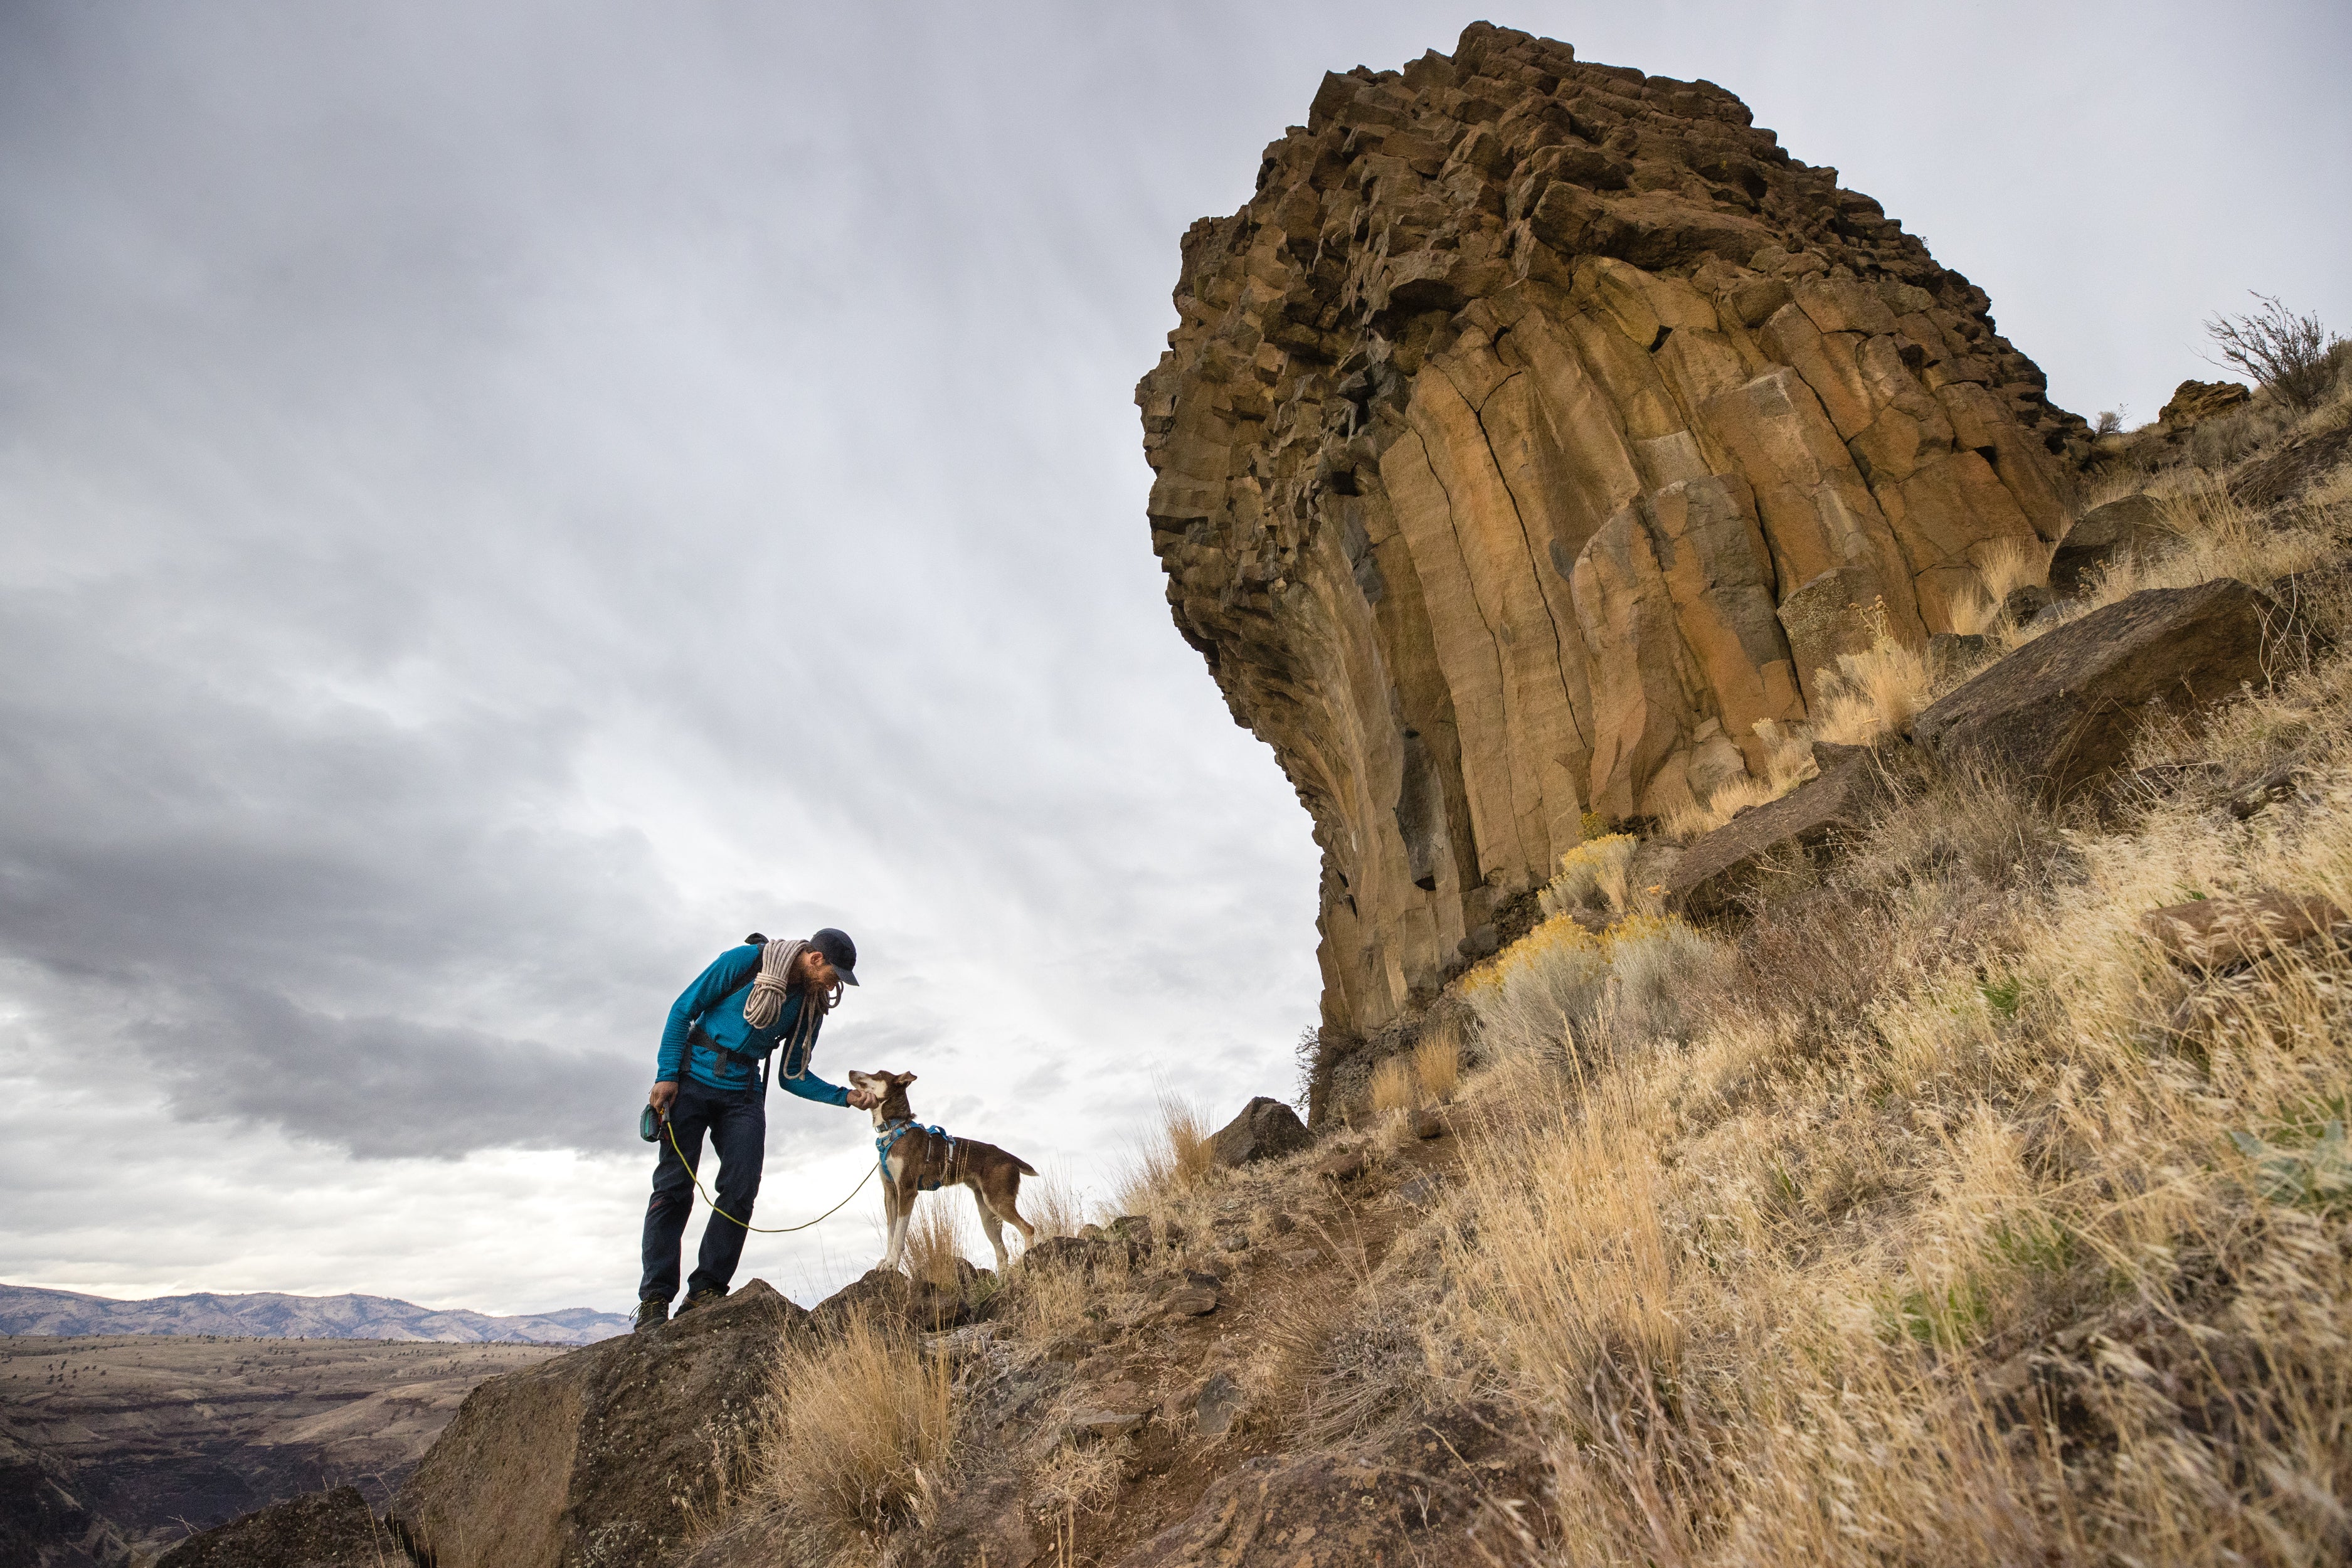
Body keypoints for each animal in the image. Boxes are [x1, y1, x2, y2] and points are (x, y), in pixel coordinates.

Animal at [842, 1067, 1035, 1278]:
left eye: (877, 1074)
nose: (850, 1071)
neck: (894, 1129)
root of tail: (1008, 1156)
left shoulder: (907, 1191)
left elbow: (899, 1234)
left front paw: (892, 1263)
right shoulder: (890, 1192)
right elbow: (891, 1232)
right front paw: (887, 1260)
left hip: (998, 1202)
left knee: (1028, 1229)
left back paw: (1027, 1260)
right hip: (988, 1213)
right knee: (1002, 1251)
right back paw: (1001, 1282)